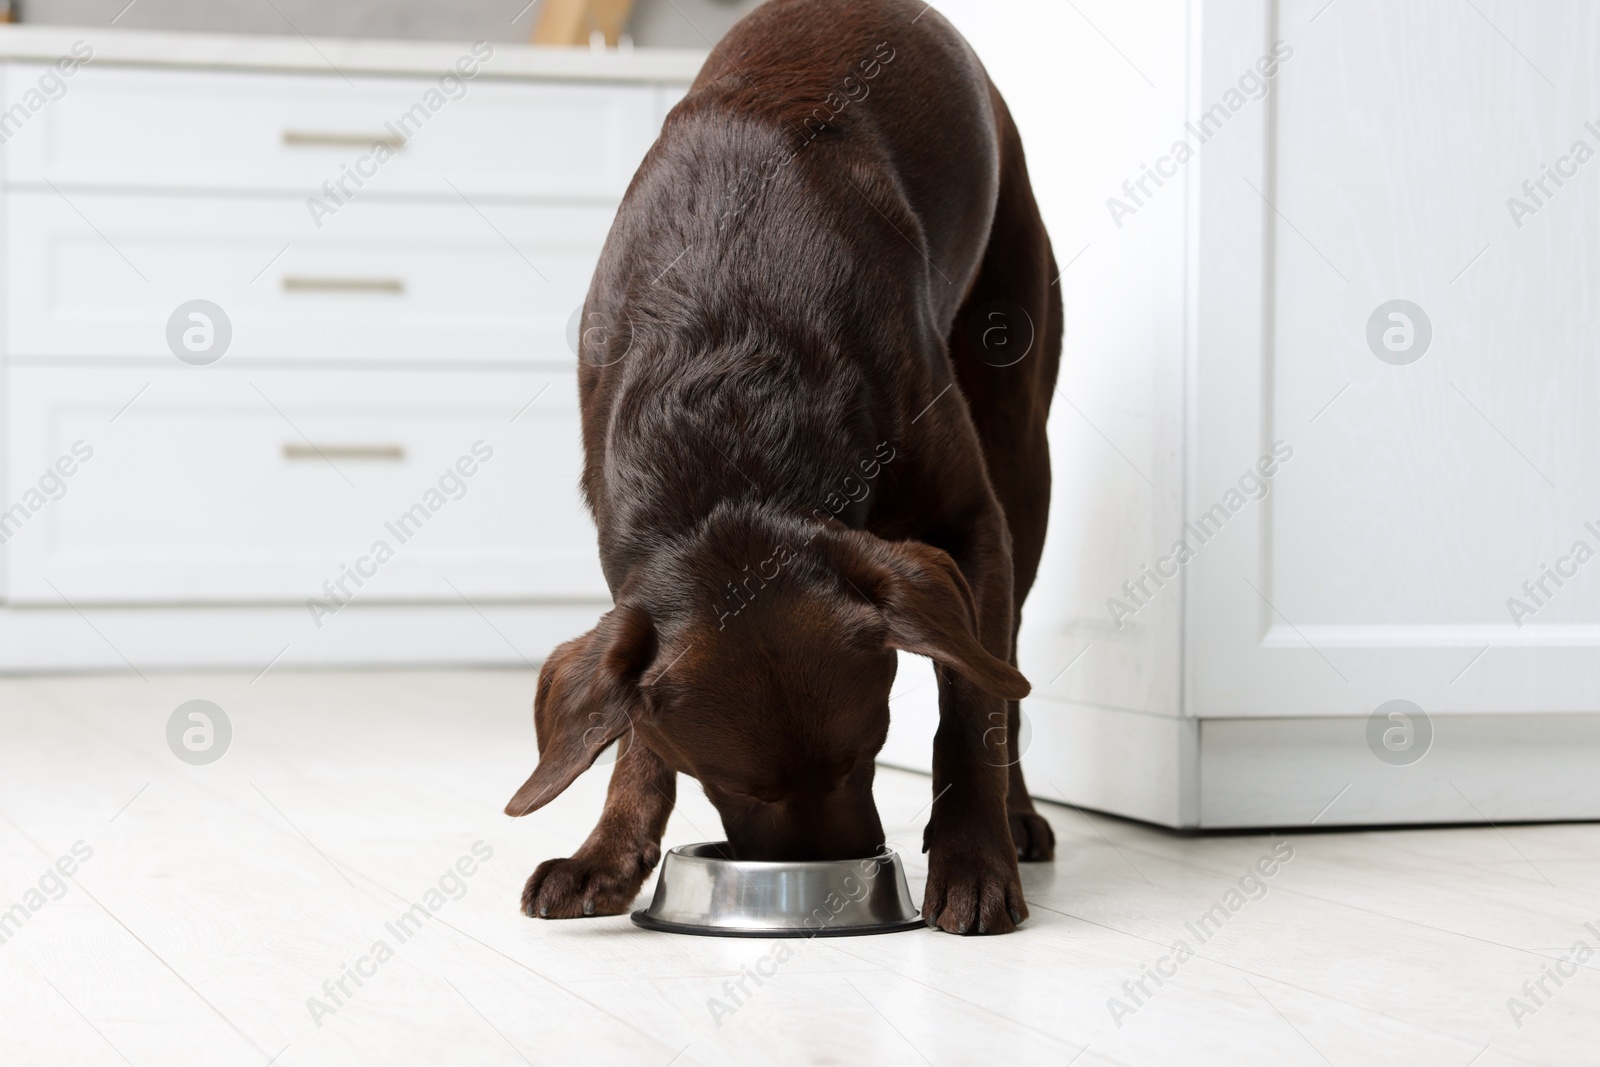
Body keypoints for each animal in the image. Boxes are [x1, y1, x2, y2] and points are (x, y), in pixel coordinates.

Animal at [505, 0, 1062, 934]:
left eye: (868, 746)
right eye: (728, 783)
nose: (830, 873)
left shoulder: (970, 523)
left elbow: (972, 701)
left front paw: (973, 858)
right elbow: (632, 731)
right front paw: (607, 852)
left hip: (1022, 442)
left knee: (1006, 662)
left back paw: (1017, 815)